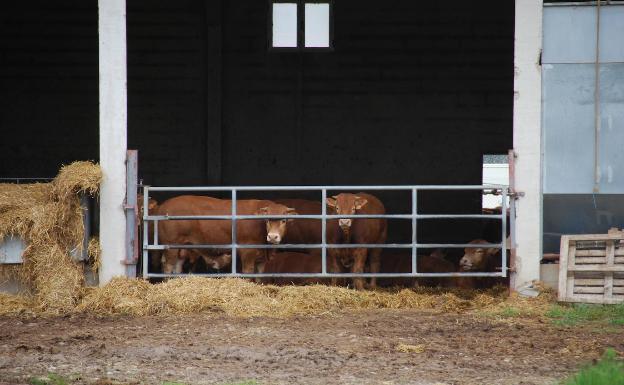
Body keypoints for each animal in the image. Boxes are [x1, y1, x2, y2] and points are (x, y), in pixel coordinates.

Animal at [154, 196, 294, 274]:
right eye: (267, 220)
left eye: (284, 220)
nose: (273, 237)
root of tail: (163, 206)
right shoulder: (247, 252)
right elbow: (248, 272)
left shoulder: (261, 259)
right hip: (171, 245)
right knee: (168, 266)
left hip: (182, 247)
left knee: (177, 266)